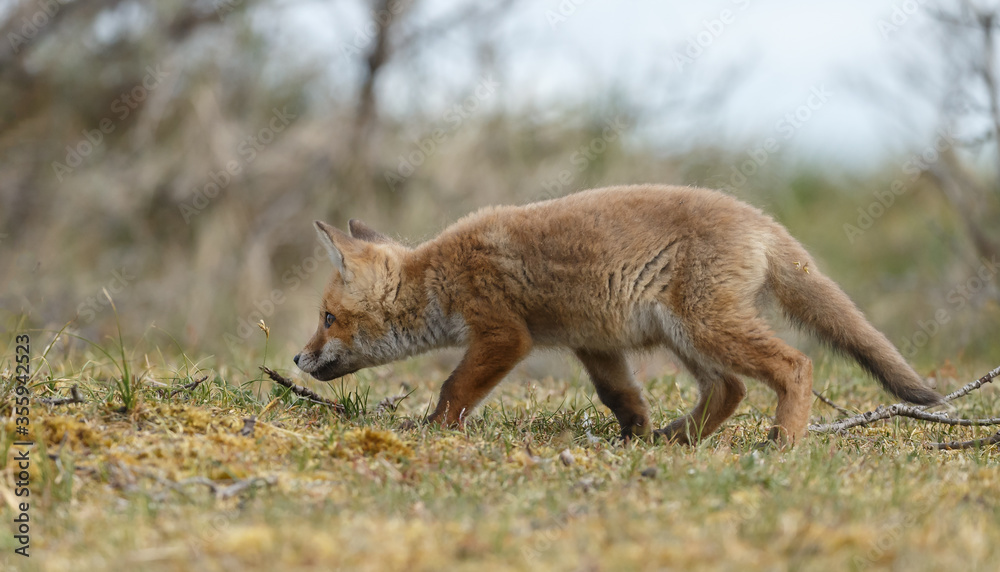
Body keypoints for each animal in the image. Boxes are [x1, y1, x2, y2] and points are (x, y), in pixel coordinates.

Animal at [293, 184, 942, 445]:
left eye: (327, 319)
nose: (297, 359)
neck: (441, 276)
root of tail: (761, 219)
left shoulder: (504, 336)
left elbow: (454, 387)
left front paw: (431, 429)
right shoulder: (594, 344)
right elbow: (621, 397)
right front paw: (635, 437)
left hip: (706, 329)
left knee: (796, 365)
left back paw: (781, 443)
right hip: (687, 338)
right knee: (729, 389)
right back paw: (678, 440)